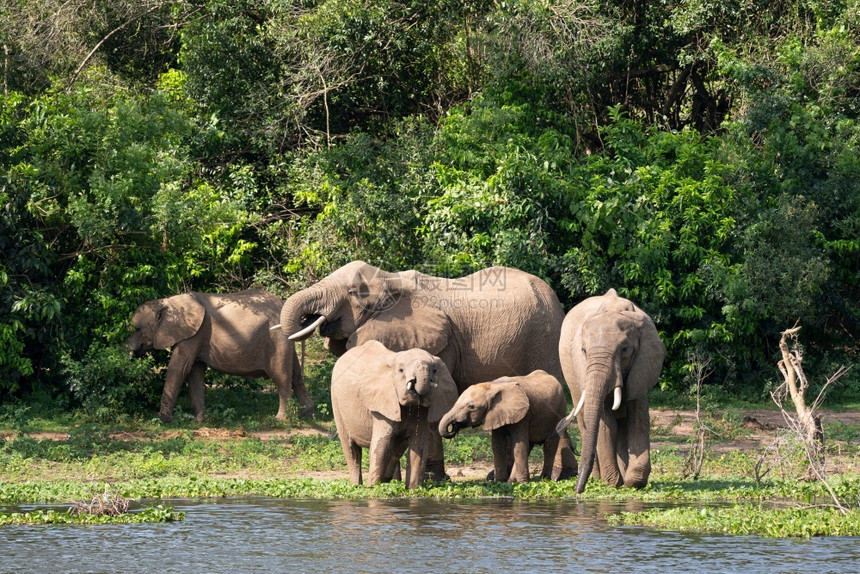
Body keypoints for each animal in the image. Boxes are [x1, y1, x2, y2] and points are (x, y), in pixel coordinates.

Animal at [126, 292, 314, 424]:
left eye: (137, 329)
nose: (129, 348)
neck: (167, 302)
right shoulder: (196, 336)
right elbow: (194, 373)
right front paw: (199, 421)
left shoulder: (193, 335)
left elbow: (179, 369)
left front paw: (162, 419)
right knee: (296, 376)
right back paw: (308, 415)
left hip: (278, 340)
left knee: (282, 378)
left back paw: (280, 420)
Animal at [332, 342, 460, 490]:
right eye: (401, 370)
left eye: (434, 370)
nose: (414, 382)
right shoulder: (382, 406)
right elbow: (381, 447)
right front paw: (372, 489)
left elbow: (419, 448)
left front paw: (412, 490)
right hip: (336, 403)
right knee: (351, 450)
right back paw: (357, 486)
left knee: (396, 450)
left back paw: (388, 482)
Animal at [436, 372, 576, 484]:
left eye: (471, 407)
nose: (453, 426)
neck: (491, 387)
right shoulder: (496, 414)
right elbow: (498, 445)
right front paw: (499, 482)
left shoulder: (523, 415)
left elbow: (518, 445)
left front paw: (522, 484)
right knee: (529, 445)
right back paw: (513, 480)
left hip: (558, 412)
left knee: (549, 444)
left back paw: (544, 479)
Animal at [556, 290, 668, 498]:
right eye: (583, 351)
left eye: (625, 349)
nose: (578, 491)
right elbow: (605, 422)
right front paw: (613, 483)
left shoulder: (641, 367)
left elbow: (637, 420)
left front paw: (633, 482)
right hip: (570, 373)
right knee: (584, 419)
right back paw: (600, 477)